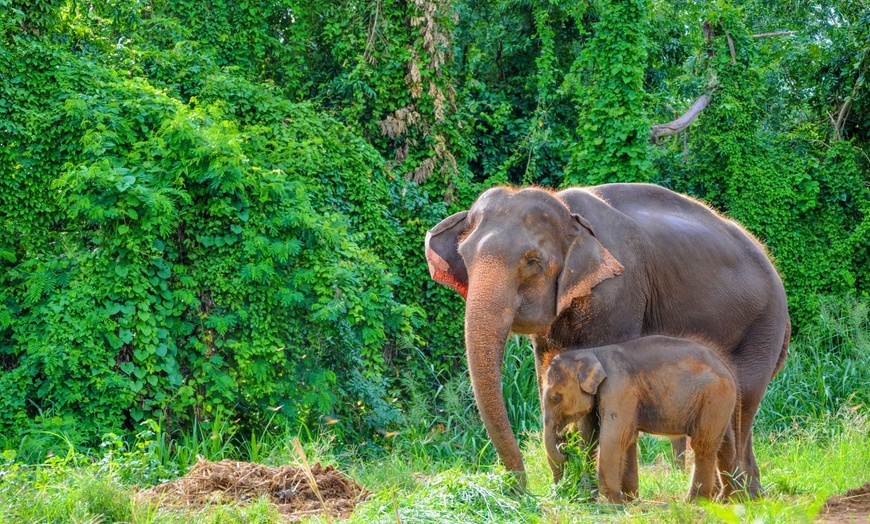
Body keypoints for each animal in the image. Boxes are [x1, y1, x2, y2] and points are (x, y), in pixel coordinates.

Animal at [544, 336, 744, 504]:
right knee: (725, 445)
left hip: (715, 396)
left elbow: (614, 439)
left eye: (555, 398)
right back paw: (728, 500)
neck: (590, 352)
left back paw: (695, 501)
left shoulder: (619, 387)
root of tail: (727, 368)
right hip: (720, 402)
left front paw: (613, 504)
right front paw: (630, 501)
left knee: (703, 445)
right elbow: (626, 439)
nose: (564, 449)